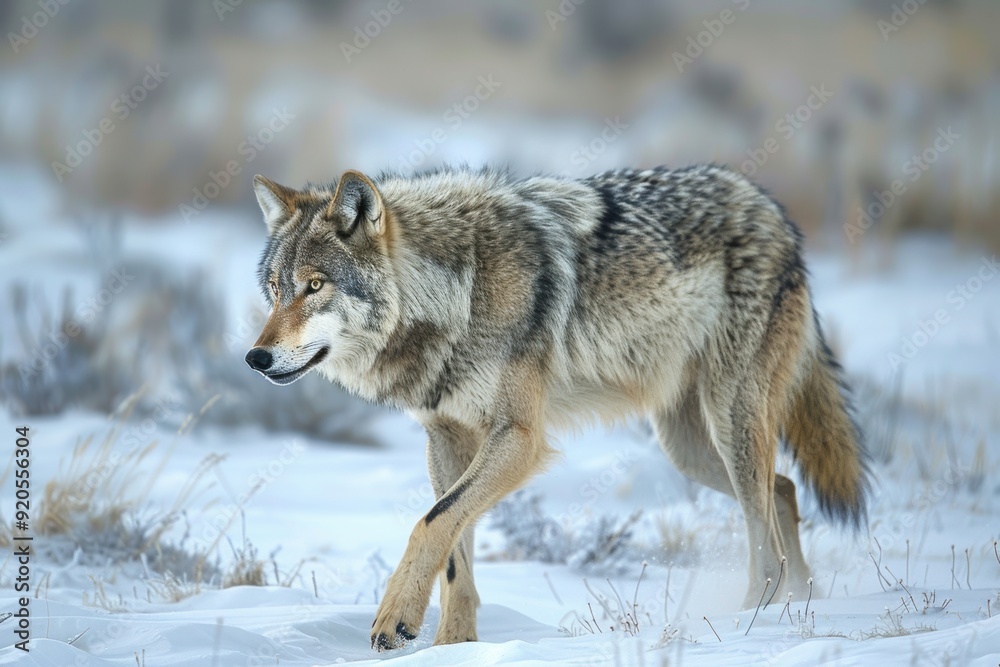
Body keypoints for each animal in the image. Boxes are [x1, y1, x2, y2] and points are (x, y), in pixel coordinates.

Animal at [245, 164, 869, 651]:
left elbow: (431, 522)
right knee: (785, 489)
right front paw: (454, 647)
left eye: (315, 286)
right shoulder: (446, 439)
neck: (459, 294)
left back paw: (748, 626)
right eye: (275, 289)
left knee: (765, 534)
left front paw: (396, 618)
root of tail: (770, 206)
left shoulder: (519, 438)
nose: (255, 357)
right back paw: (794, 606)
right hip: (688, 448)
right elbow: (454, 549)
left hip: (728, 423)